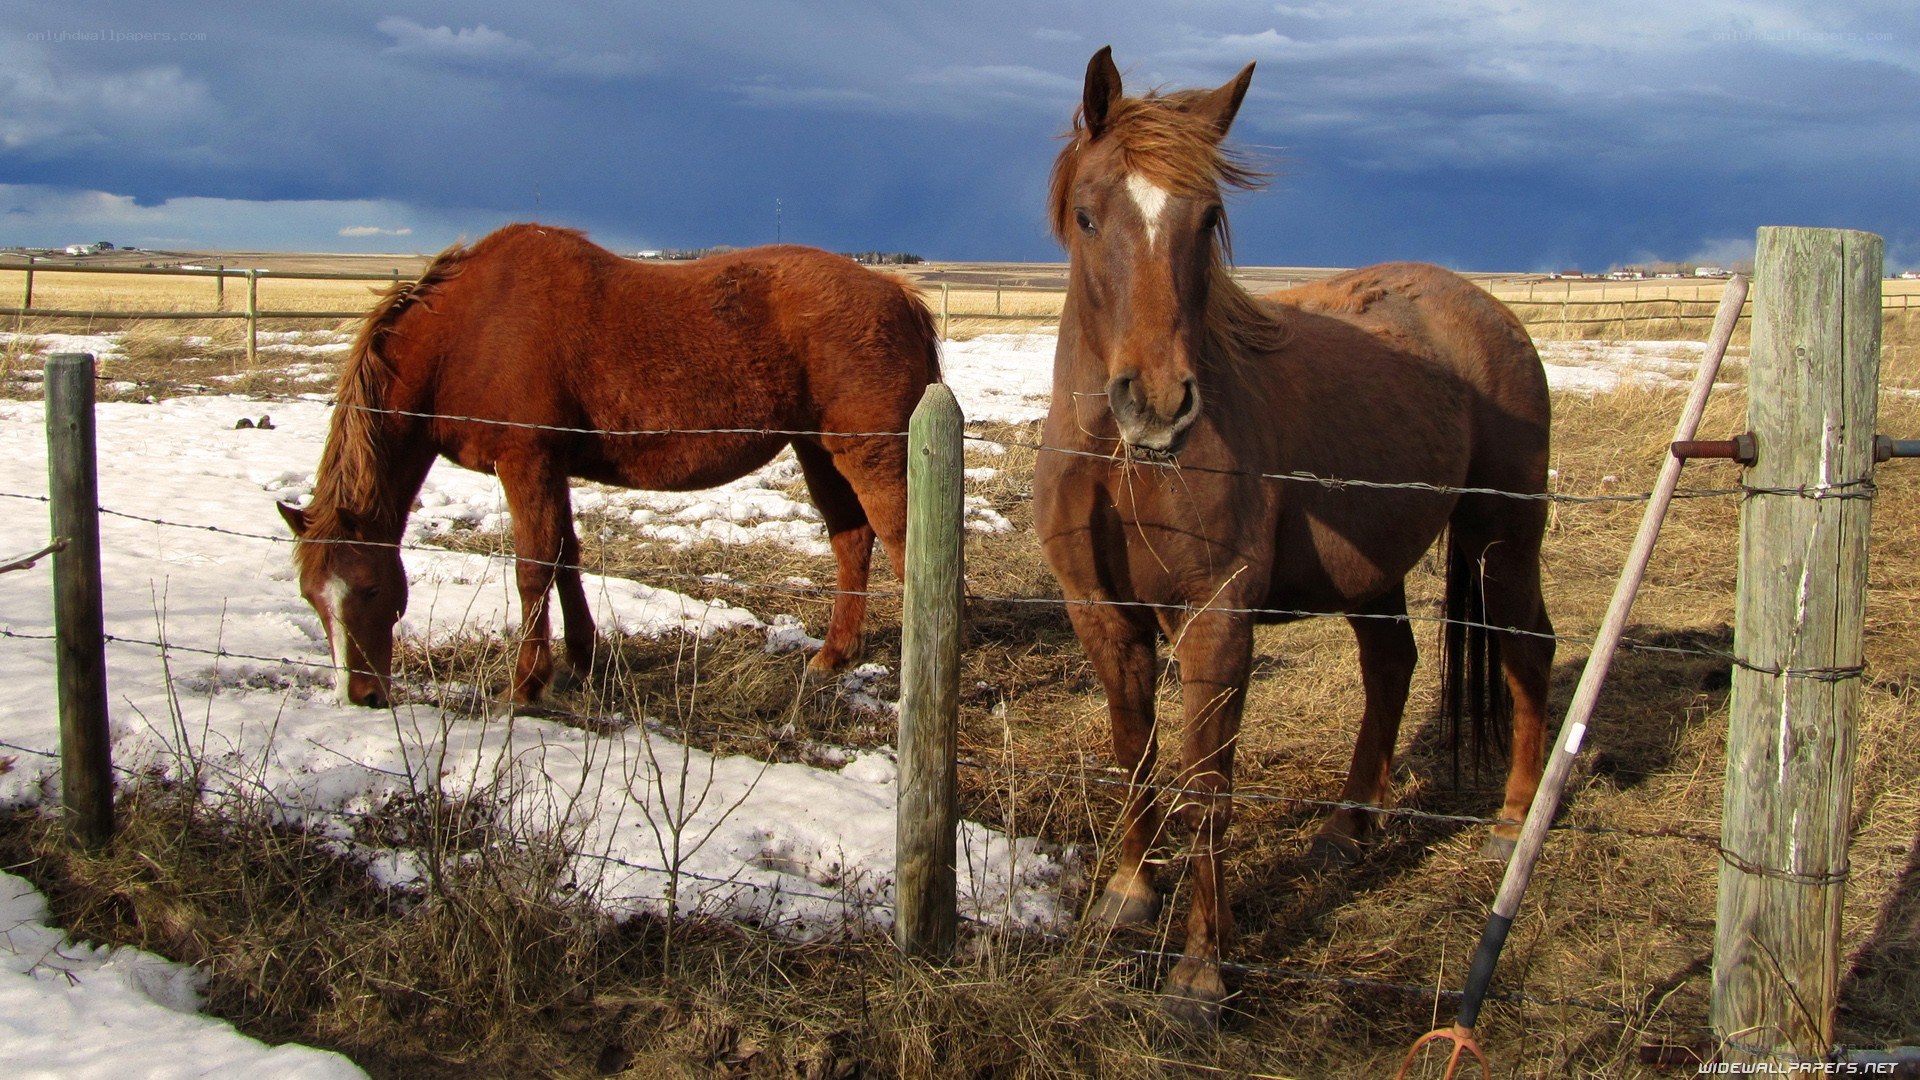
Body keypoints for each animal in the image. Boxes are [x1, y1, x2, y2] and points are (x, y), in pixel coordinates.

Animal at [279, 224, 941, 708]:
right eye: (312, 598)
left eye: (368, 588)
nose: (360, 695)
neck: (468, 330)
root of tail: (898, 296)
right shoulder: (552, 470)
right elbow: (566, 558)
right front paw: (582, 660)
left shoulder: (526, 463)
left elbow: (533, 569)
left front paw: (526, 685)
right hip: (818, 450)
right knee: (852, 541)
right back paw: (833, 655)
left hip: (870, 454)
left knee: (904, 545)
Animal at [1033, 48, 1554, 1021]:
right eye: (1088, 214)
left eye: (1207, 219)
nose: (1158, 404)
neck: (1118, 459)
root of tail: (1487, 311)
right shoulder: (1102, 613)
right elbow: (1133, 752)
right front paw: (1128, 893)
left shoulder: (1216, 619)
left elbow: (1209, 786)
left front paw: (1201, 974)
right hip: (1376, 570)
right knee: (1392, 666)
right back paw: (1347, 829)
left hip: (1504, 537)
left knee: (1526, 649)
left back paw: (1511, 824)